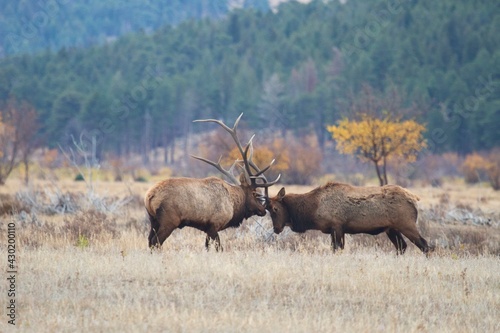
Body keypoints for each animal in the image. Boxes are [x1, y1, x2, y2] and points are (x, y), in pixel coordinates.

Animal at [144, 113, 282, 249]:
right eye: (254, 193)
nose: (263, 209)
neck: (233, 205)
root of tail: (150, 196)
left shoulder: (207, 229)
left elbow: (207, 247)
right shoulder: (214, 225)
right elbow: (218, 247)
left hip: (153, 221)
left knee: (150, 241)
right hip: (169, 220)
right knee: (156, 242)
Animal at [266, 183, 434, 253]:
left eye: (275, 209)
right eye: (267, 210)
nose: (276, 229)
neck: (313, 209)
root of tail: (414, 198)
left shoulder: (337, 226)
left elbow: (336, 249)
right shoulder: (338, 230)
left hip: (407, 224)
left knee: (425, 245)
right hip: (391, 229)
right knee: (402, 247)